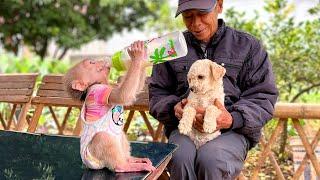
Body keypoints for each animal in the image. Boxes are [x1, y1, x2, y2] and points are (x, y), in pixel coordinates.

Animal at [63, 40, 154, 172]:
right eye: (91, 63)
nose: (103, 60)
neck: (100, 83)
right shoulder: (98, 91)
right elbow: (122, 95)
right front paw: (137, 54)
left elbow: (134, 90)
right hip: (92, 156)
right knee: (103, 138)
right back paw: (125, 166)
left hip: (119, 138)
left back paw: (131, 160)